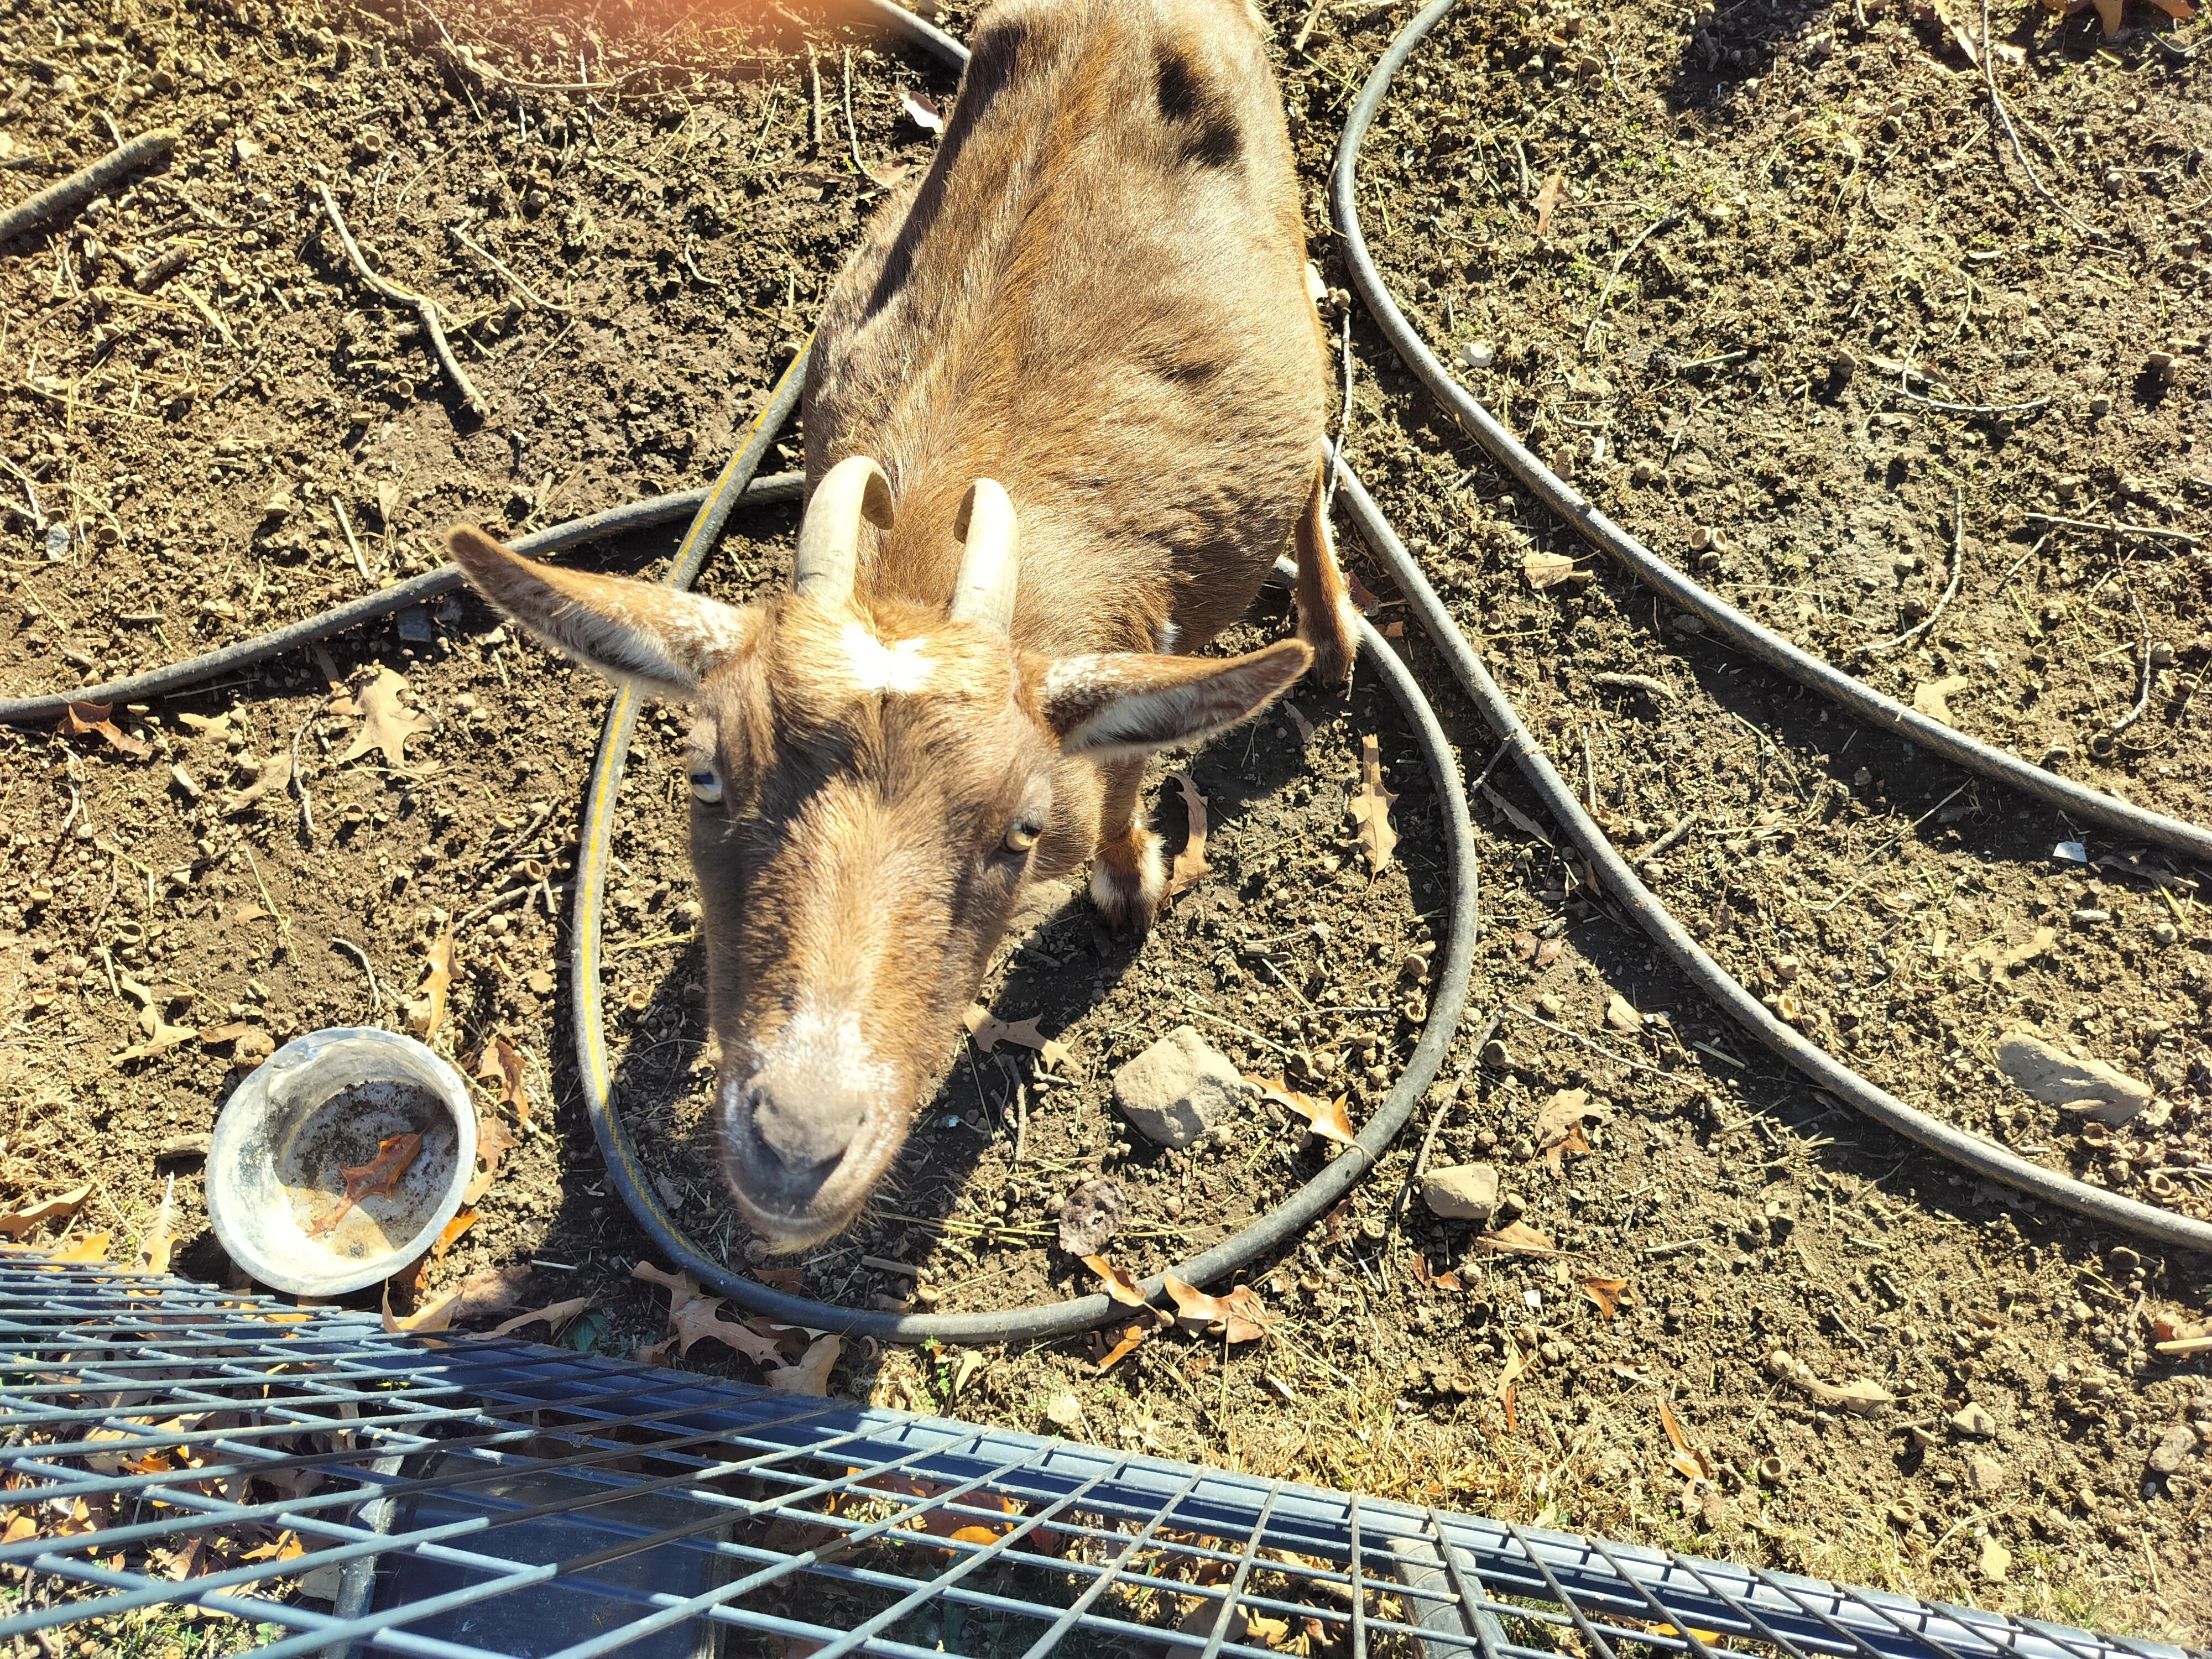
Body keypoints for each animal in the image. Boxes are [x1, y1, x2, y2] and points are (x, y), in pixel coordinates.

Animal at [446, 0, 1358, 1251]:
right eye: (704, 778)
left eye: (1022, 828)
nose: (796, 1146)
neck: (925, 568)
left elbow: (1128, 780)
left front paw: (1132, 883)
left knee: (1315, 450)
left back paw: (1336, 637)